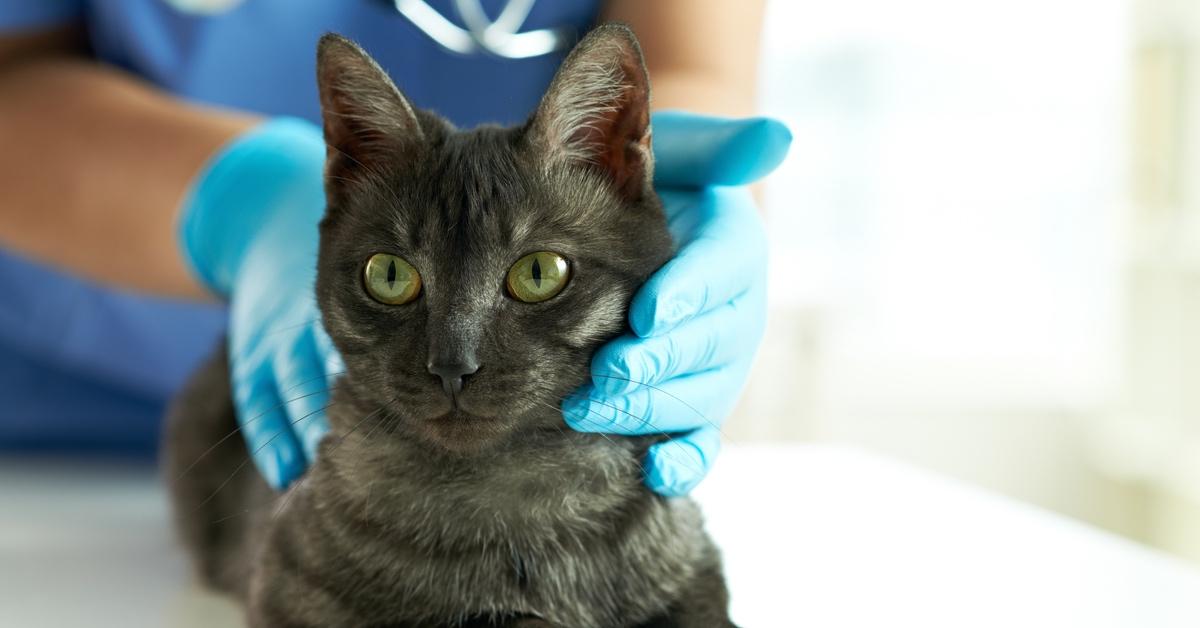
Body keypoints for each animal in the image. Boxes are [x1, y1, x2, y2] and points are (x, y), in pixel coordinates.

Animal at [164, 25, 734, 628]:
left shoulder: (694, 569)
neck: (510, 507)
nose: (452, 366)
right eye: (389, 275)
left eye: (539, 273)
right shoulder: (287, 586)